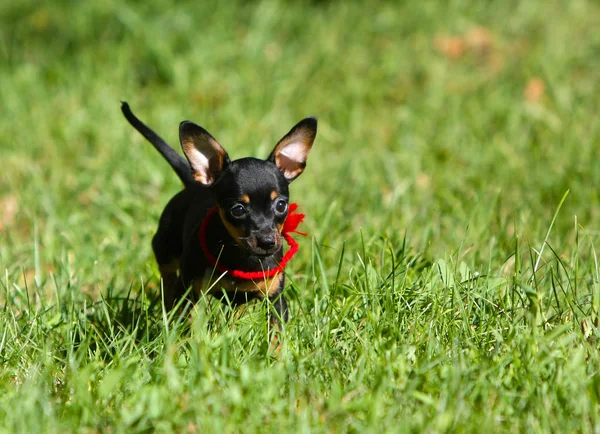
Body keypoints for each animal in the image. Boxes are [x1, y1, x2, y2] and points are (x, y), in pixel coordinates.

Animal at [123, 103, 318, 324]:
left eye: (281, 205)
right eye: (238, 210)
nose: (267, 242)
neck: (242, 255)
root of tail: (193, 184)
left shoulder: (276, 299)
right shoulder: (188, 291)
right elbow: (183, 321)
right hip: (166, 249)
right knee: (168, 281)